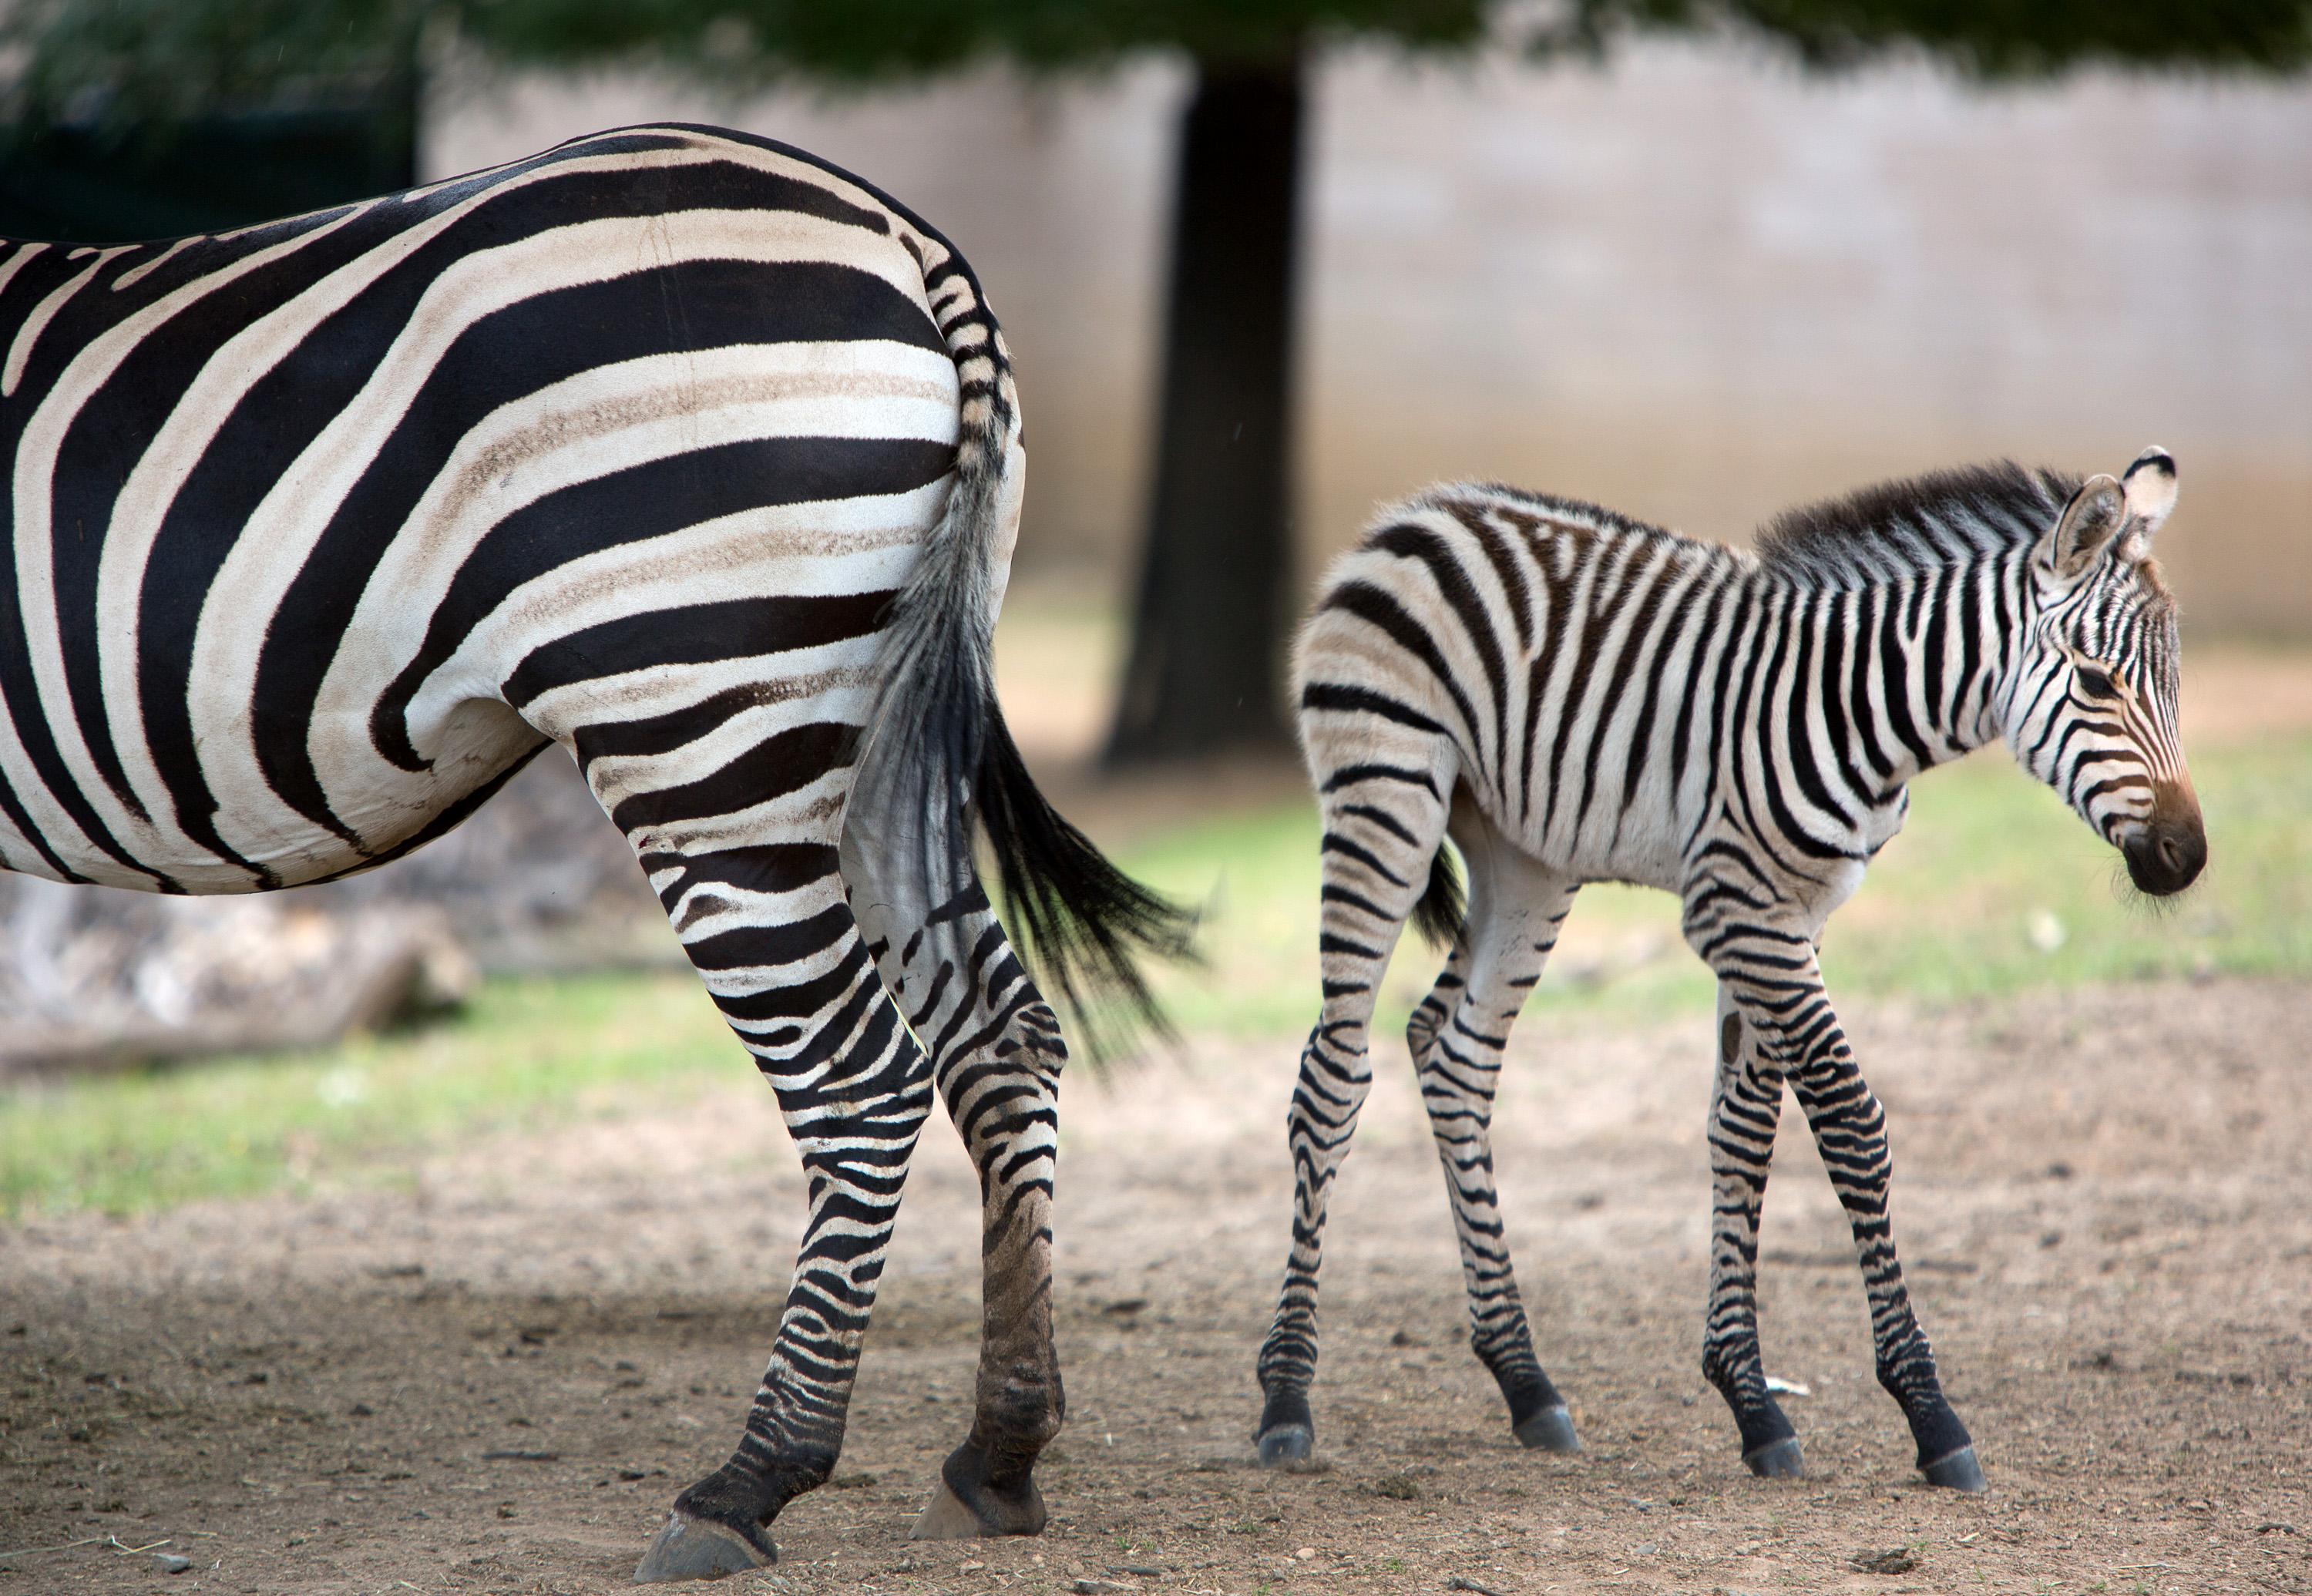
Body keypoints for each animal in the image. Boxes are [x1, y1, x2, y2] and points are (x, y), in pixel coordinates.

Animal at [0, 123, 1187, 1582]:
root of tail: (902, 234)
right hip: (873, 726)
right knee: (1000, 1033)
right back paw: (998, 1451)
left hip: (698, 729)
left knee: (861, 1082)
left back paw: (748, 1481)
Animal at [1255, 451, 2202, 1490]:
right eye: (2097, 681)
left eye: (2175, 683)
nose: (2187, 857)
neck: (1861, 706)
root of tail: (1415, 514)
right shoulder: (1741, 912)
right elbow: (1851, 1124)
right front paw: (1928, 1409)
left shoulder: (1793, 916)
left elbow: (1744, 1131)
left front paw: (1750, 1400)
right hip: (1386, 798)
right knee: (1332, 1078)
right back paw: (1287, 1397)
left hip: (1526, 855)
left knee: (1456, 1055)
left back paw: (1526, 1379)